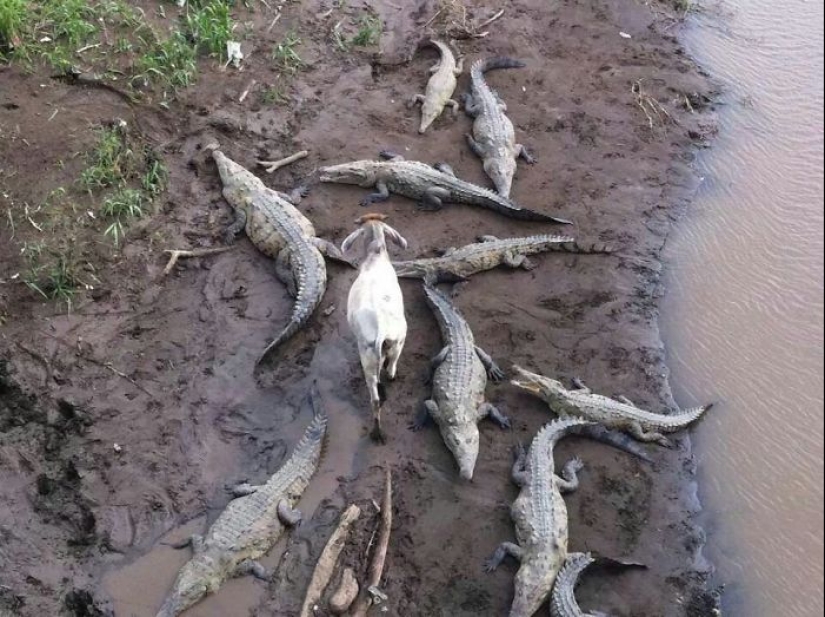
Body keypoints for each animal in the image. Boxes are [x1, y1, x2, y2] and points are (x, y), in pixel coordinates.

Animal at [340, 214, 408, 440]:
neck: (375, 257)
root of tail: (381, 329)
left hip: (369, 359)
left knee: (376, 397)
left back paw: (376, 432)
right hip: (398, 341)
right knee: (391, 369)